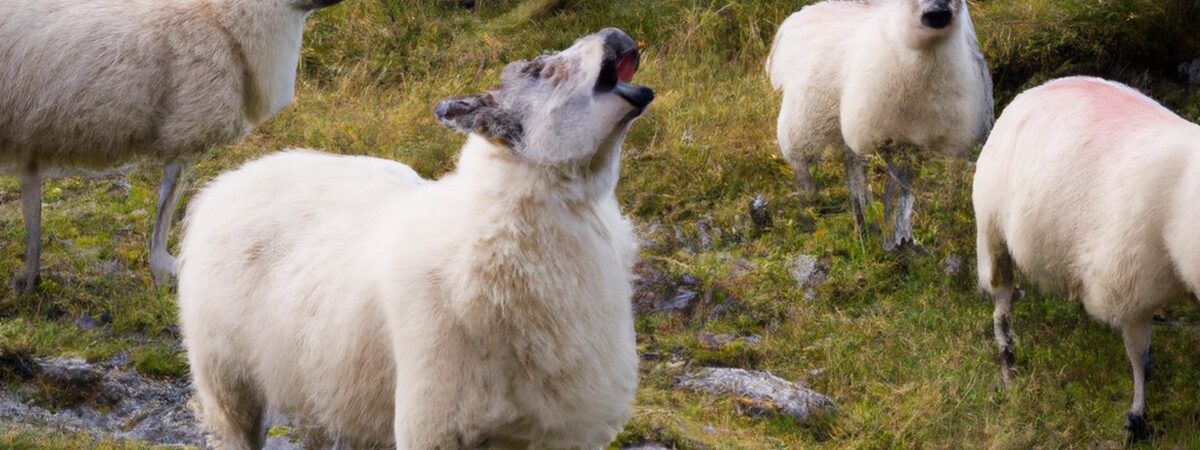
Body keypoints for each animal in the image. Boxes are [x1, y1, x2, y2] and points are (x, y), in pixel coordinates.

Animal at [177, 28, 653, 449]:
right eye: (543, 70)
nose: (614, 33)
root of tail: (235, 177)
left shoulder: (553, 431)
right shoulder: (434, 426)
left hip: (316, 383)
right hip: (226, 380)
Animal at [767, 0, 993, 250]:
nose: (938, 14)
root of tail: (798, 17)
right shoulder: (876, 135)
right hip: (802, 124)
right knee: (805, 164)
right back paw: (820, 204)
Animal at [974, 76, 1200, 439]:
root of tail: (1031, 94)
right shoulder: (1128, 287)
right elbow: (1139, 357)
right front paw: (1137, 416)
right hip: (993, 231)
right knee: (1001, 304)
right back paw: (1008, 363)